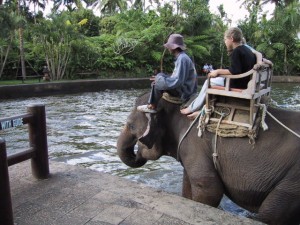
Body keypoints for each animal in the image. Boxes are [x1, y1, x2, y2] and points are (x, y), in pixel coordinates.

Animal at [116, 92, 300, 225]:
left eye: (131, 126)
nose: (137, 152)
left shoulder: (195, 144)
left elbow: (209, 190)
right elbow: (189, 187)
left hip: (293, 182)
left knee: (271, 213)